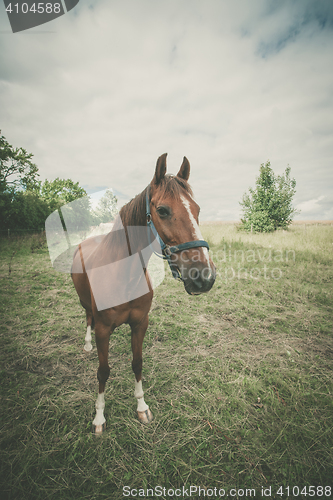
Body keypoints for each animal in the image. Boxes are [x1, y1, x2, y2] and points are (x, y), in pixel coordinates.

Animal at [71, 153, 215, 434]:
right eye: (163, 210)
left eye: (197, 210)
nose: (204, 277)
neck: (124, 276)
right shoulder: (103, 329)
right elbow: (103, 371)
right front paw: (99, 417)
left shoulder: (140, 324)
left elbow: (137, 363)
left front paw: (141, 407)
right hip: (84, 303)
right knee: (87, 318)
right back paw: (87, 344)